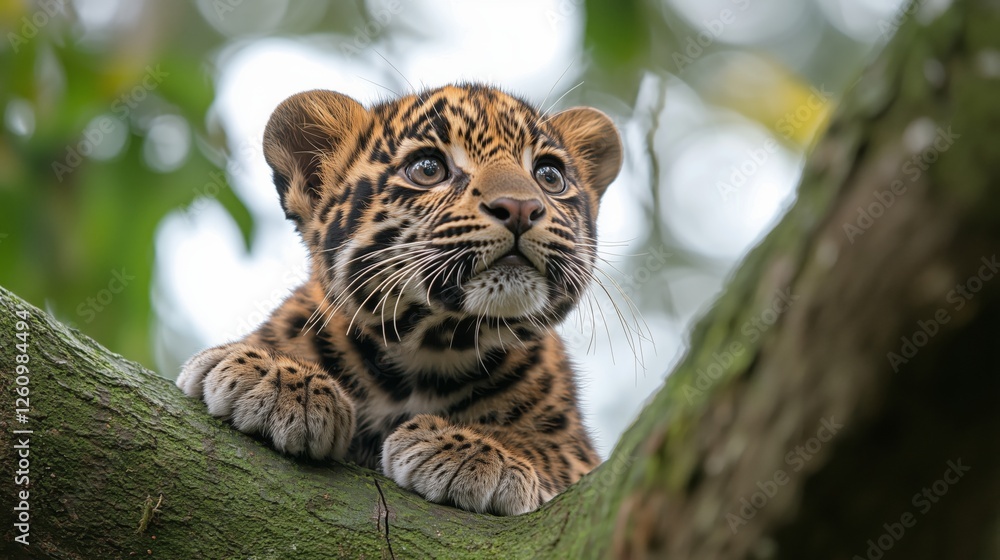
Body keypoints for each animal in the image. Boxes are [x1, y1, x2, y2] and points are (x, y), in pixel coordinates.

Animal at [176, 83, 623, 516]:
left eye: (549, 176)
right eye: (428, 169)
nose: (520, 207)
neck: (426, 349)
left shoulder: (581, 456)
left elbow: (554, 451)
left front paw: (483, 450)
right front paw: (278, 376)